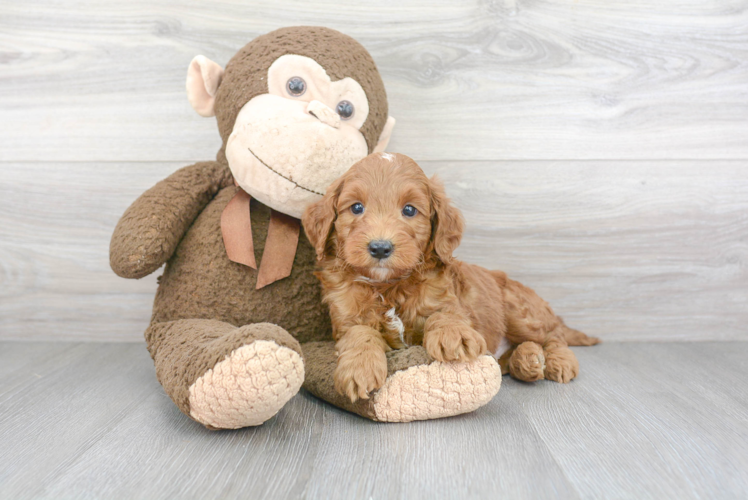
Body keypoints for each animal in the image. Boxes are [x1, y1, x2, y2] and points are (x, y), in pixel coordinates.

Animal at [300, 152, 600, 402]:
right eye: (356, 208)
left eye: (409, 210)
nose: (380, 247)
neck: (389, 286)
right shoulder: (345, 319)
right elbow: (360, 333)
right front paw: (359, 368)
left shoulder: (451, 299)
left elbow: (444, 314)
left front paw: (453, 335)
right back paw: (528, 360)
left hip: (521, 310)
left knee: (553, 335)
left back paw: (558, 361)